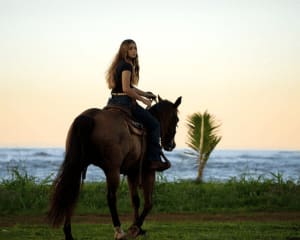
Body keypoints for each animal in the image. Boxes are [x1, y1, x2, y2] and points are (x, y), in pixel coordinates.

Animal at [48, 94, 182, 239]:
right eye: (176, 119)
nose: (171, 144)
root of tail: (90, 116)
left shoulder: (132, 172)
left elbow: (135, 200)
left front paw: (138, 229)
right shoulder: (148, 171)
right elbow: (148, 203)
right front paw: (135, 228)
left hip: (77, 166)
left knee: (71, 193)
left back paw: (69, 233)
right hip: (112, 170)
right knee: (111, 198)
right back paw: (119, 231)